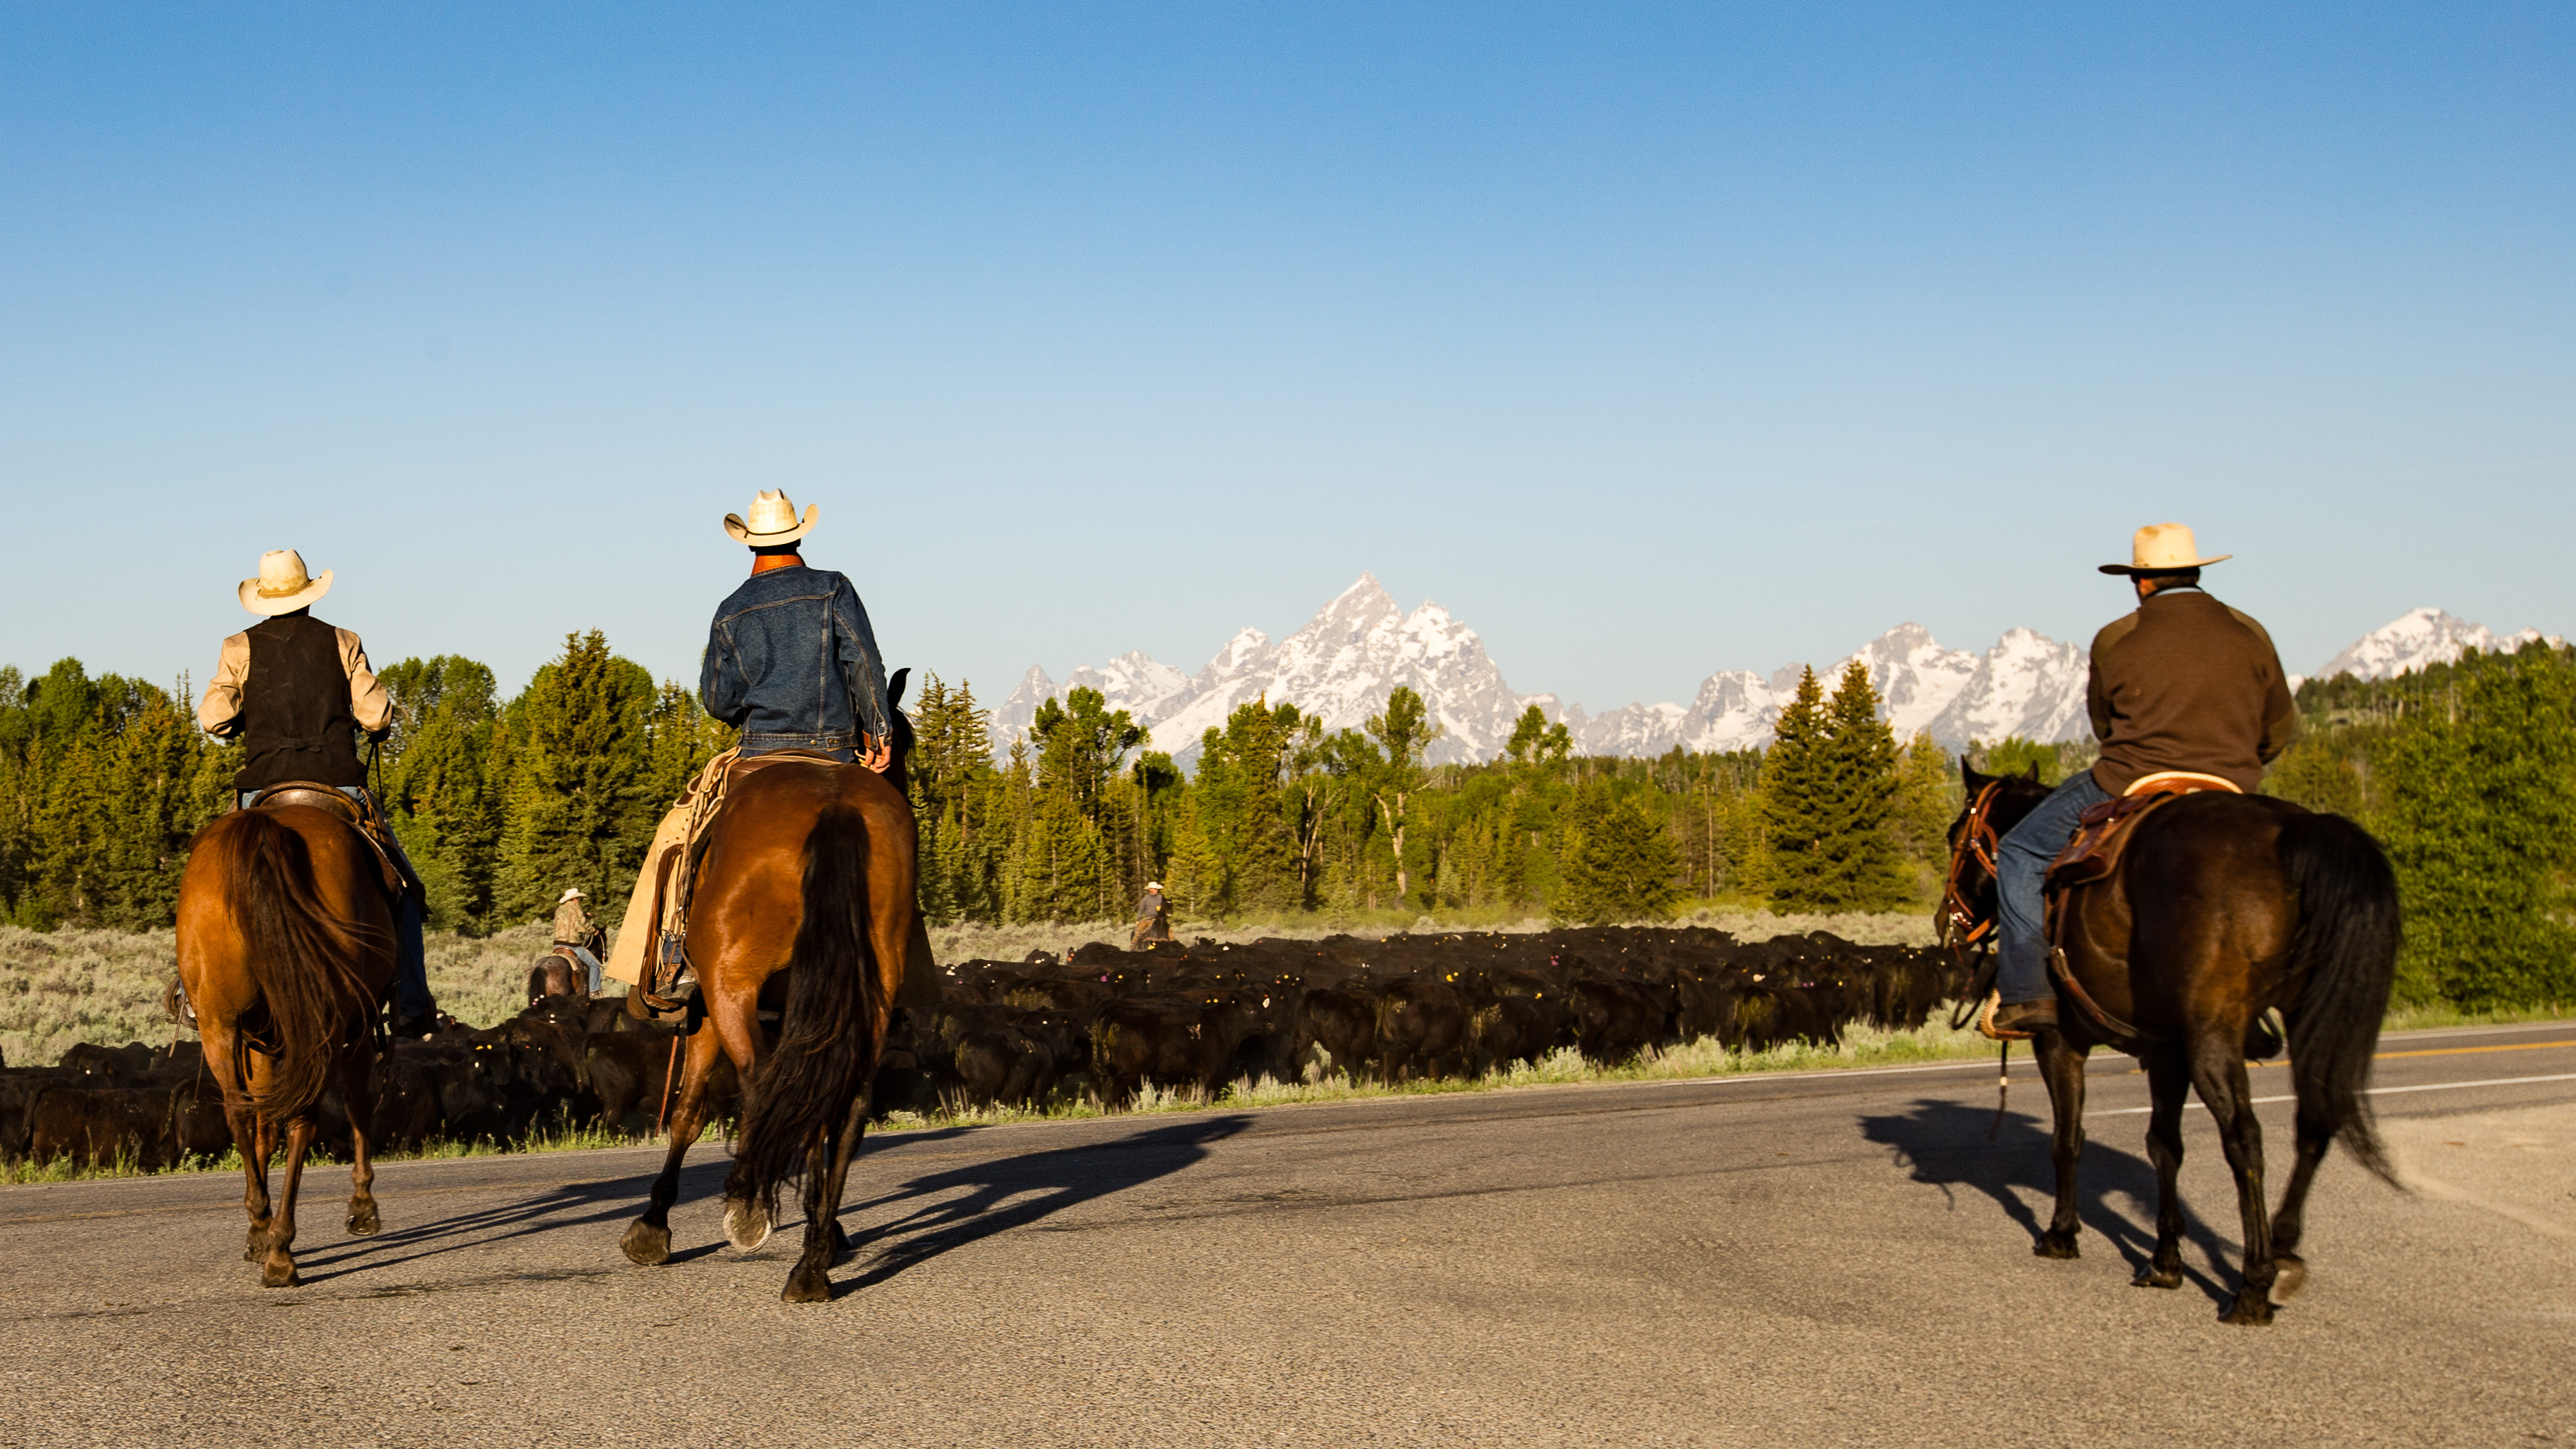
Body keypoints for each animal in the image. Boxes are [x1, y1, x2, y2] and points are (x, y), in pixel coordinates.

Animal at [174, 803, 391, 1291]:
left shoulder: (259, 1041)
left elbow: (261, 1124)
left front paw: (258, 1229)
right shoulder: (358, 1026)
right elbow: (357, 1105)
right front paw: (363, 1206)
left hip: (219, 1023)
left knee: (240, 1112)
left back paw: (262, 1230)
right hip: (322, 1026)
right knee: (303, 1120)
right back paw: (281, 1251)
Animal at [1937, 766, 2401, 1328]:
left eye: (1955, 836)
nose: (1945, 920)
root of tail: (2297, 829)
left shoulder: (2060, 1043)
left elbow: (2067, 1138)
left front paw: (2061, 1233)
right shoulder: (2165, 1052)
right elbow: (2164, 1146)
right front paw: (2164, 1260)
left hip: (2214, 1036)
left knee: (2245, 1138)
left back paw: (2254, 1285)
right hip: (2303, 1018)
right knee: (2313, 1125)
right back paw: (2285, 1249)